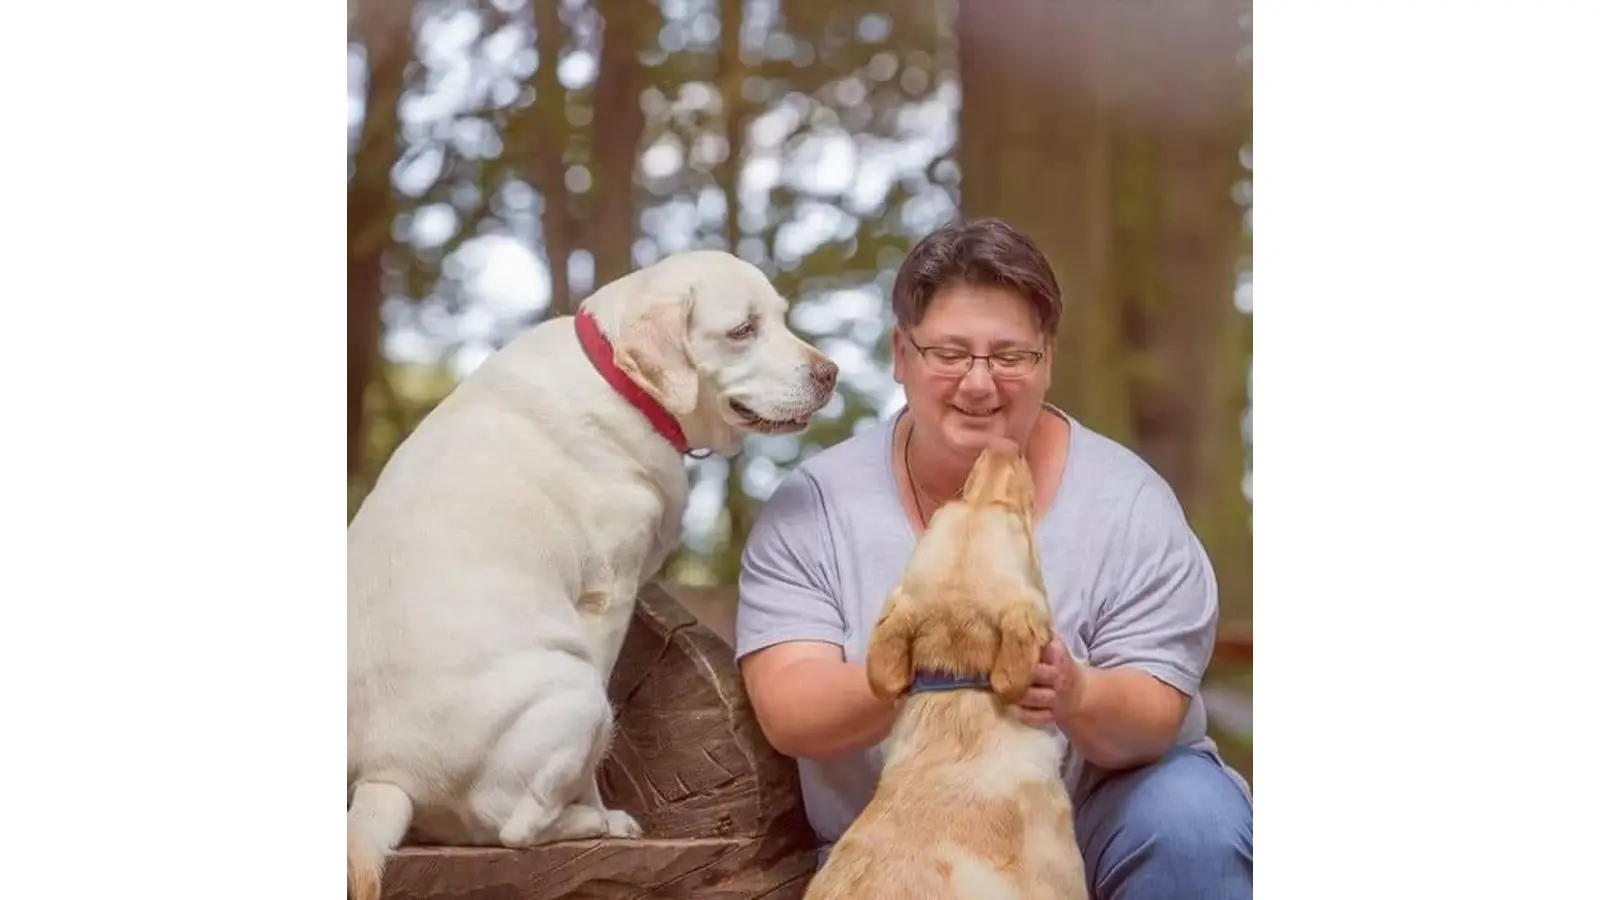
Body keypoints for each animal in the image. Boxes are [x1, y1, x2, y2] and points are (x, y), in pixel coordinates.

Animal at [347, 246, 838, 896]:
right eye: (742, 330)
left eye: (781, 317)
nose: (830, 373)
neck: (623, 384)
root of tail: (385, 774)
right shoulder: (609, 597)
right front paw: (601, 808)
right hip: (578, 693)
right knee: (516, 827)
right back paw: (595, 824)